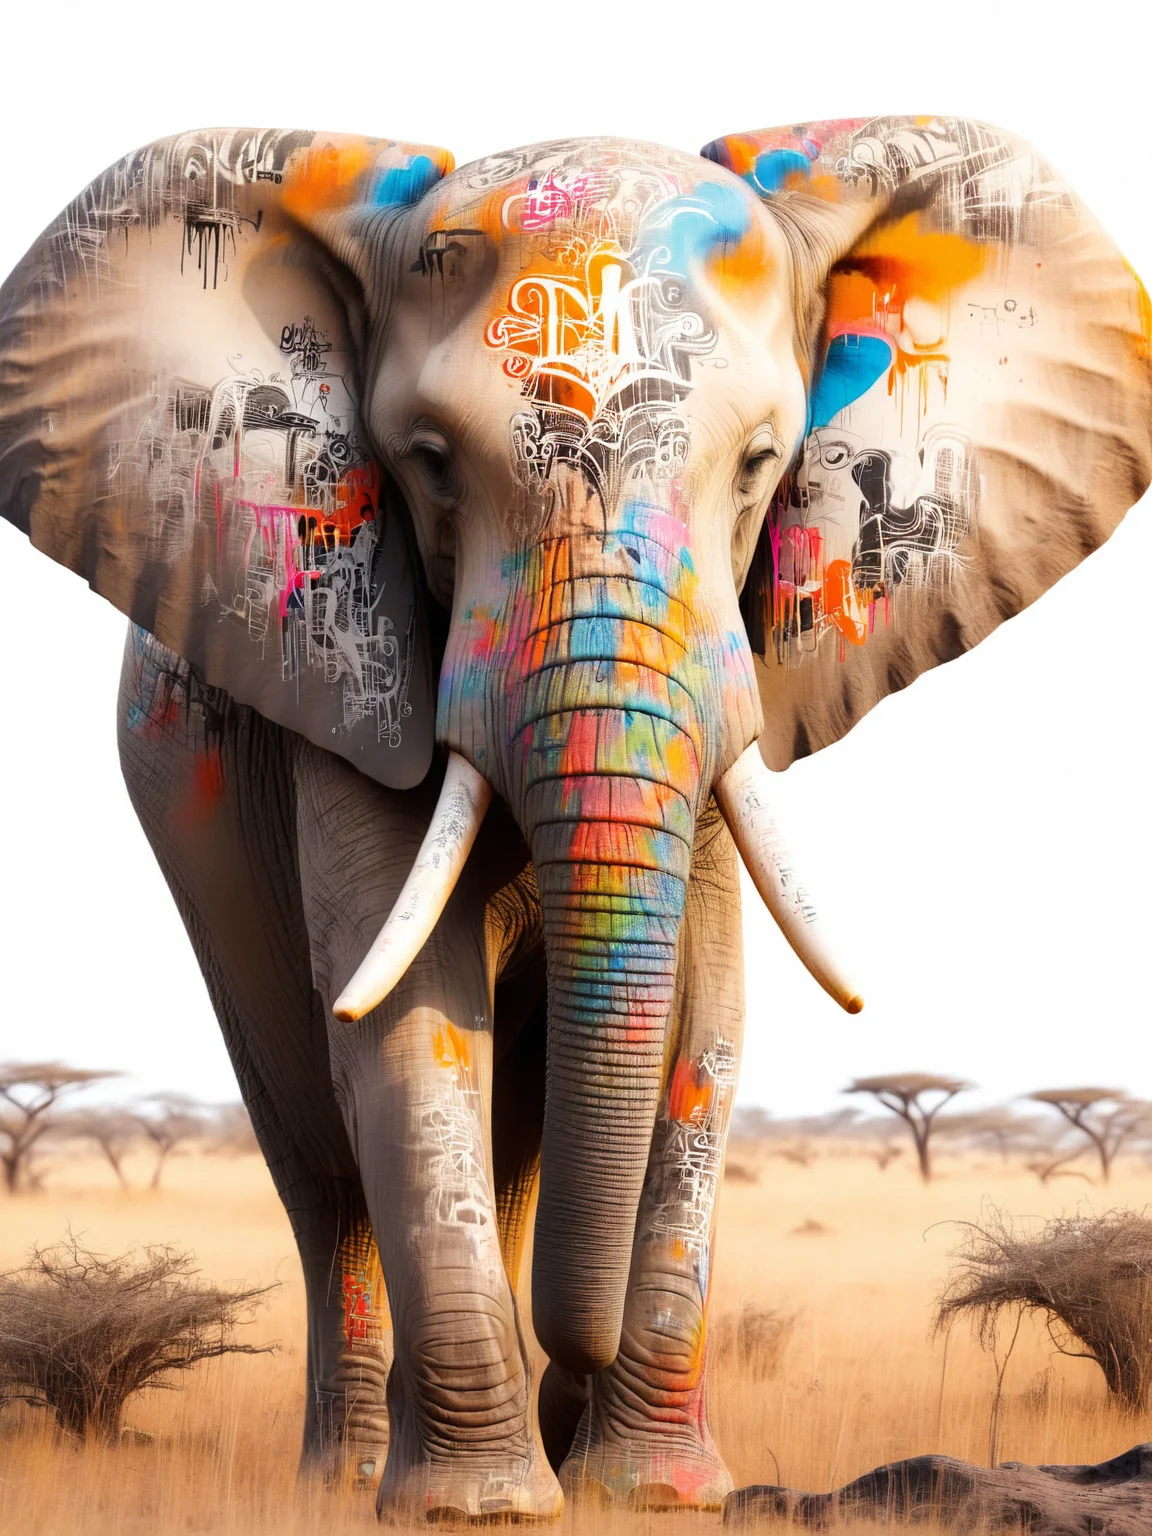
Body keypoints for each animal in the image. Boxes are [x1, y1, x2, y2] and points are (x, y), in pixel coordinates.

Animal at [1, 116, 1149, 1522]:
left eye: (761, 465)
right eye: (429, 466)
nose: (571, 1368)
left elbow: (709, 1011)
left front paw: (654, 1492)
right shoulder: (343, 656)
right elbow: (409, 1015)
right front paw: (480, 1509)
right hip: (201, 831)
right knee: (319, 1157)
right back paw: (353, 1473)